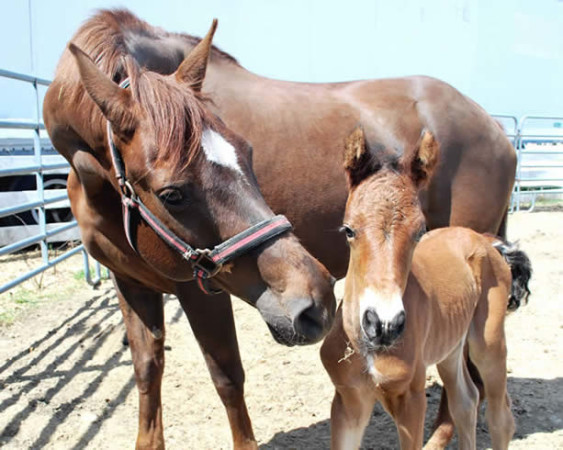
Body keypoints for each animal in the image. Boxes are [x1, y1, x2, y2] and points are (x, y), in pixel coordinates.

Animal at [322, 127, 532, 450]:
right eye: (348, 230)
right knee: (466, 401)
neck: (368, 348)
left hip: (489, 344)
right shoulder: (348, 400)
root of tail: (486, 241)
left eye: (420, 231)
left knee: (500, 418)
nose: (383, 325)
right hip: (451, 347)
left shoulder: (411, 399)